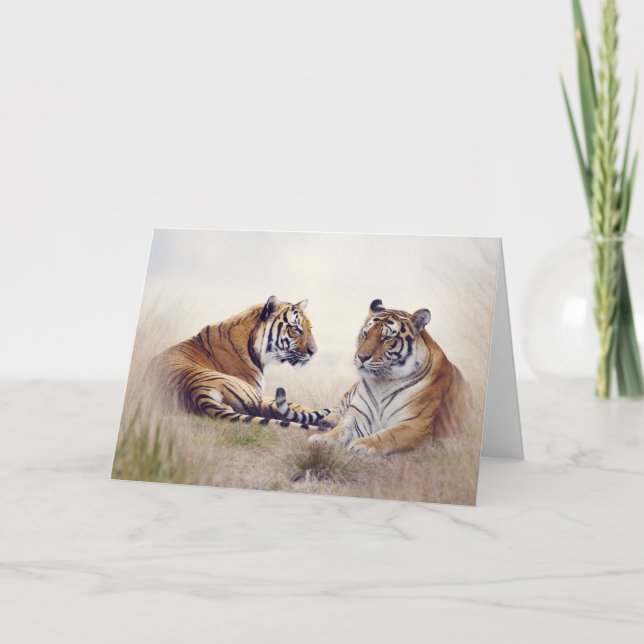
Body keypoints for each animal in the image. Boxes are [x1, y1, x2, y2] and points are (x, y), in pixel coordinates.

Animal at [307, 299, 472, 455]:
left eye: (386, 338)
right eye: (365, 334)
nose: (362, 357)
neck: (382, 382)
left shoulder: (416, 424)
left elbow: (388, 435)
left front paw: (363, 444)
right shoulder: (358, 414)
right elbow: (341, 428)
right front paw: (323, 438)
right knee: (339, 408)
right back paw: (327, 422)